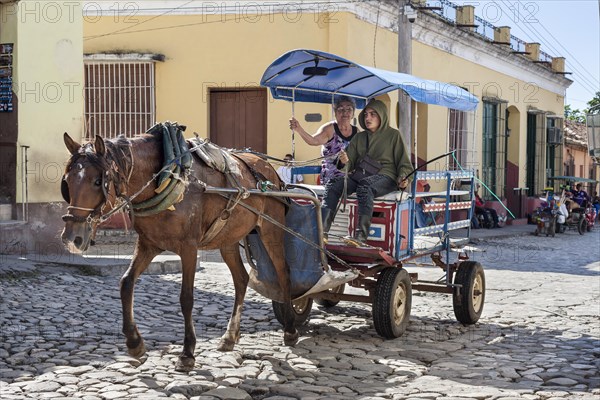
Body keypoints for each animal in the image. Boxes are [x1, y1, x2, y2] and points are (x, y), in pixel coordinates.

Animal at [59, 132, 298, 372]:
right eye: (67, 182)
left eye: (98, 182)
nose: (72, 237)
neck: (166, 177)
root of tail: (268, 168)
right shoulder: (148, 244)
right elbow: (126, 283)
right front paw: (134, 343)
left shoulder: (189, 248)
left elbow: (186, 298)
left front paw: (187, 353)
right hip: (227, 238)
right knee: (241, 279)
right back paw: (229, 337)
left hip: (271, 230)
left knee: (283, 272)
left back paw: (290, 329)